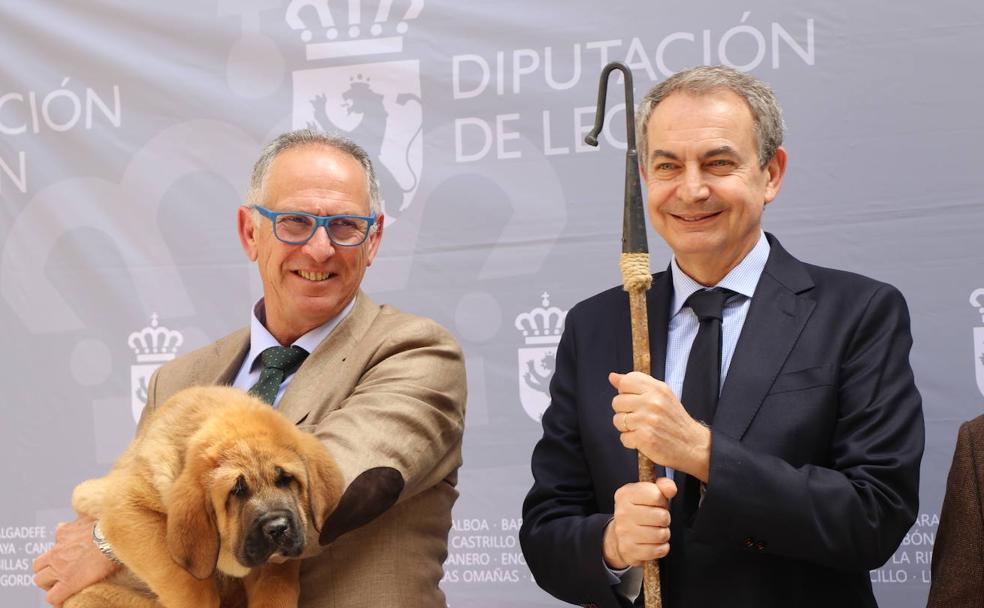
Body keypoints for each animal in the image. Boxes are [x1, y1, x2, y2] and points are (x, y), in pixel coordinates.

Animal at [64, 388, 342, 604]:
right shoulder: (126, 507)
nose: (277, 528)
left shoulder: (275, 566)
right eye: (237, 490)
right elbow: (184, 582)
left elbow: (275, 590)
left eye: (286, 479)